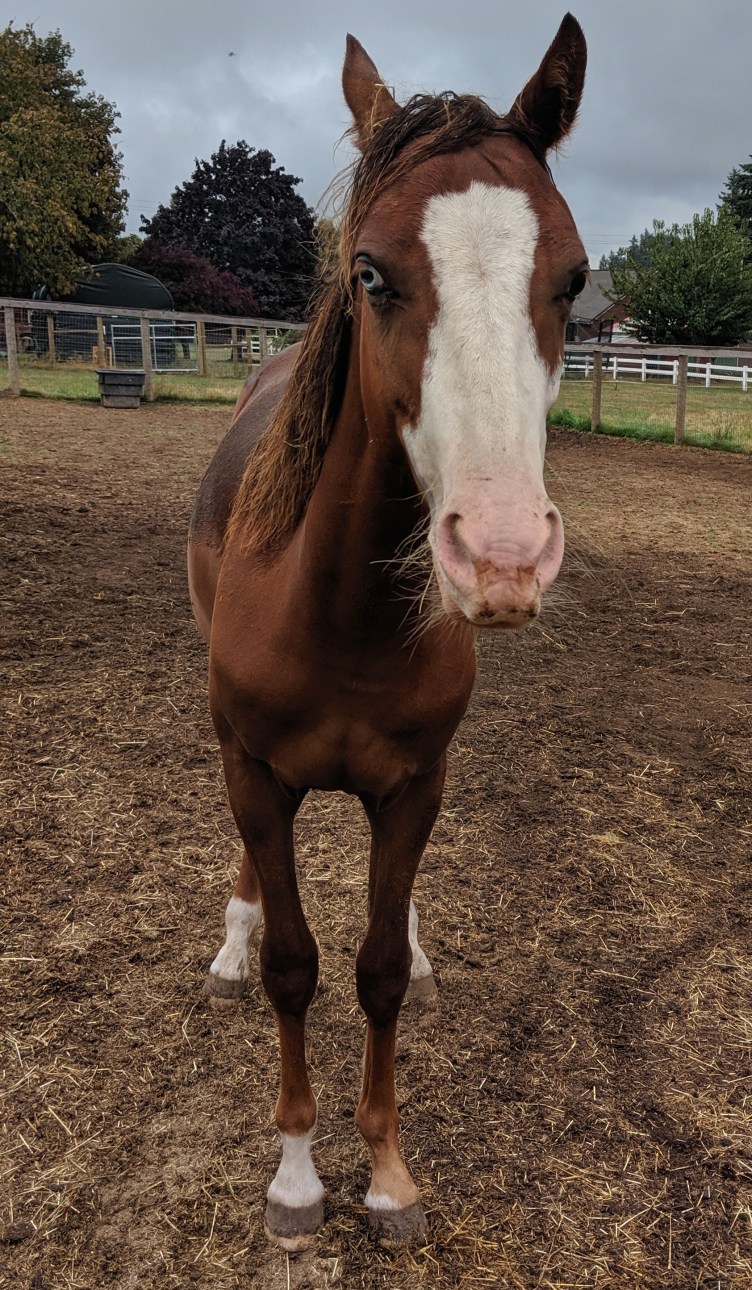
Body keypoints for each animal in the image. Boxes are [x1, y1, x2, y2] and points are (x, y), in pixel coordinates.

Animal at [187, 15, 588, 1249]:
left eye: (572, 278)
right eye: (370, 273)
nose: (501, 554)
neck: (340, 619)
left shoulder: (414, 786)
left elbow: (371, 973)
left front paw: (387, 1174)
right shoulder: (257, 775)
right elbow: (293, 967)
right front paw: (296, 1179)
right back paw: (228, 941)